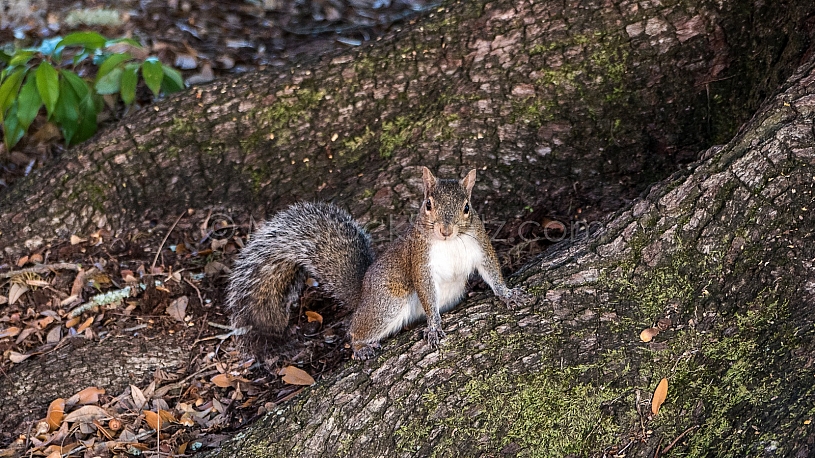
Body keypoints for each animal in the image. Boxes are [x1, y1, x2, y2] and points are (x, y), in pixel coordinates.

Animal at [225, 167, 525, 360]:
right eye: (428, 204)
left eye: (466, 207)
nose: (445, 230)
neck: (450, 242)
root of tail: (362, 294)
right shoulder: (419, 260)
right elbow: (426, 291)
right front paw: (434, 326)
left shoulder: (480, 245)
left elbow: (492, 271)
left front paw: (508, 295)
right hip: (386, 303)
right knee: (354, 329)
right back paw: (361, 347)